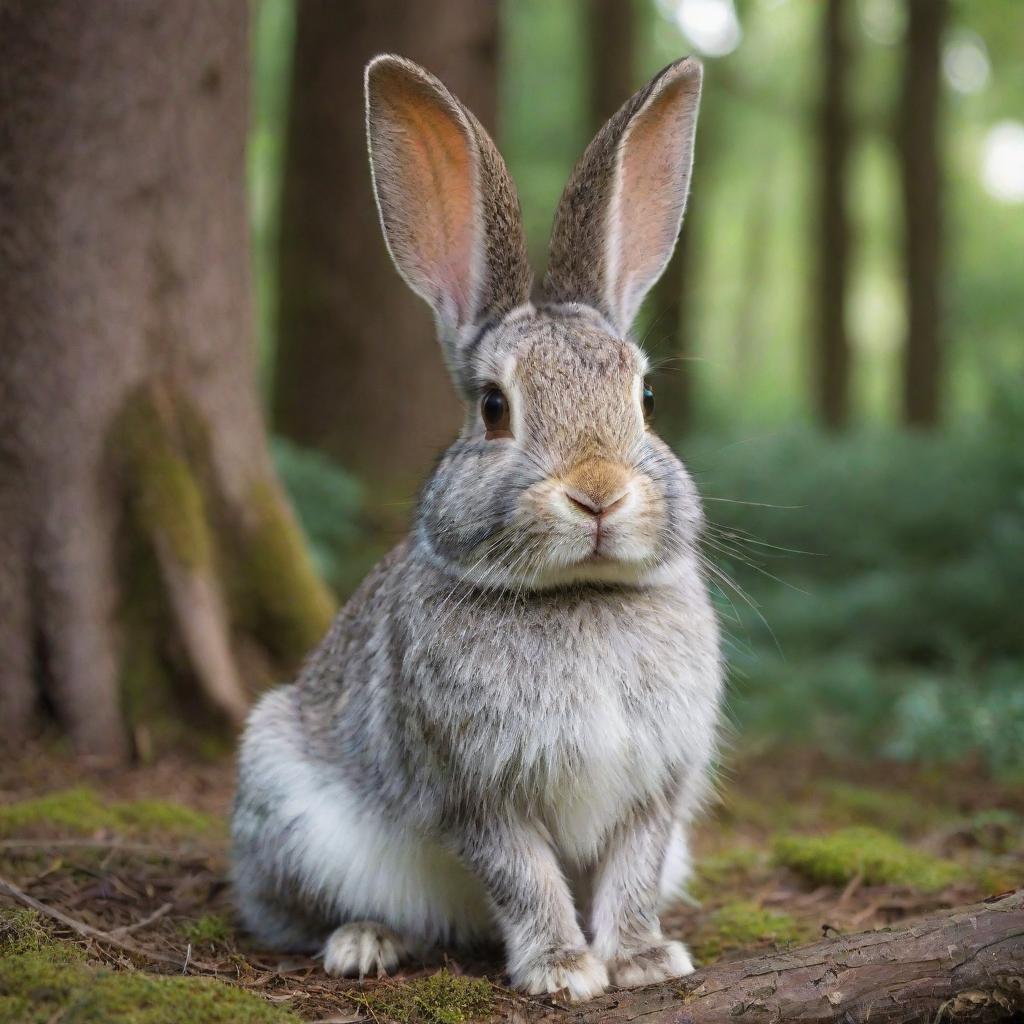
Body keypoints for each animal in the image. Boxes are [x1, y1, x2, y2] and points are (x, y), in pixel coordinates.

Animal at [234, 51, 720, 1003]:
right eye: (495, 408)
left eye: (645, 399)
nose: (598, 495)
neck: (579, 597)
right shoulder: (478, 792)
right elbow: (522, 875)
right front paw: (564, 971)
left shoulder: (655, 789)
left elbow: (633, 873)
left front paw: (643, 961)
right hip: (292, 811)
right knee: (291, 914)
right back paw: (365, 942)